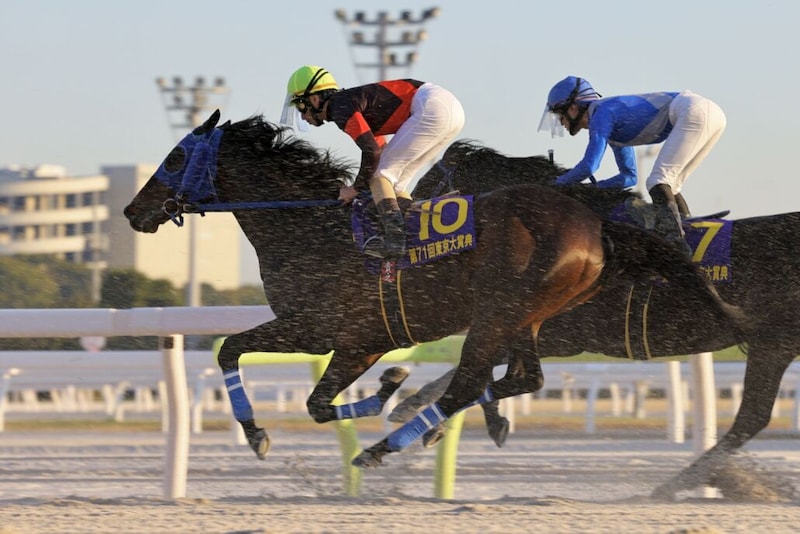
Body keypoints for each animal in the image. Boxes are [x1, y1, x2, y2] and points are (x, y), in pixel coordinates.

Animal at [123, 110, 747, 473]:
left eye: (175, 157)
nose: (132, 211)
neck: (308, 228)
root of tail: (595, 224)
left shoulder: (320, 328)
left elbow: (232, 349)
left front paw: (257, 435)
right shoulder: (359, 342)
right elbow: (317, 403)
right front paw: (389, 388)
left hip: (497, 314)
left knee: (473, 380)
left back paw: (384, 448)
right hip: (528, 315)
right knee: (521, 377)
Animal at [402, 140, 800, 500]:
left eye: (427, 184)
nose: (403, 219)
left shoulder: (559, 334)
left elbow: (478, 370)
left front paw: (423, 414)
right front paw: (439, 414)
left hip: (773, 344)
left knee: (750, 418)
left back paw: (676, 485)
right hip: (776, 346)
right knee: (753, 418)